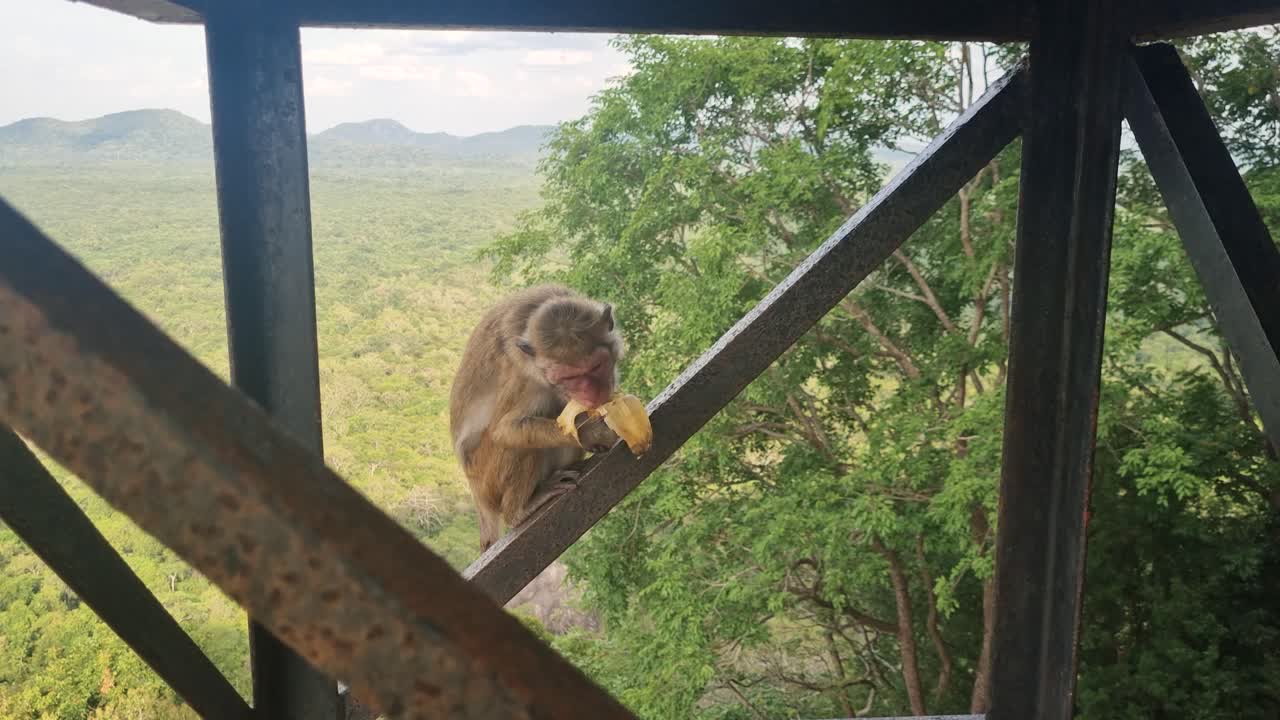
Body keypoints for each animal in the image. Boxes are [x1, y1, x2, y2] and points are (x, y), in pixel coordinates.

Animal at [449, 284, 624, 552]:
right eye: (568, 378)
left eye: (596, 366)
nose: (591, 394)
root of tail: (477, 495)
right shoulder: (526, 379)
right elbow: (504, 429)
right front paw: (594, 431)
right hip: (487, 478)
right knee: (517, 443)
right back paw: (519, 510)